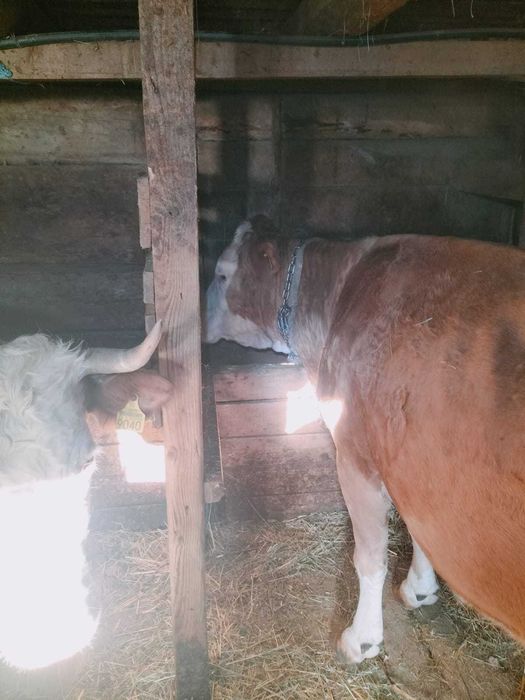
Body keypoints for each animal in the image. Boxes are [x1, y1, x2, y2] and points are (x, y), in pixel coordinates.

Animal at [205, 215, 525, 664]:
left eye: (221, 274)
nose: (196, 322)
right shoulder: (411, 458)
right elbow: (416, 525)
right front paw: (421, 588)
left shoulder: (356, 451)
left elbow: (370, 554)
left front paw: (362, 638)